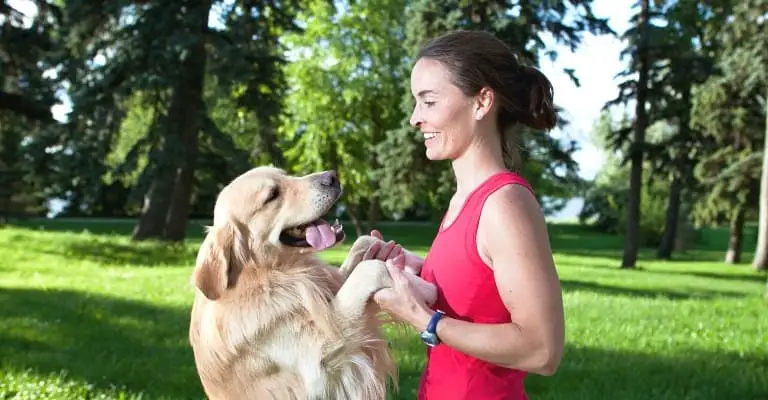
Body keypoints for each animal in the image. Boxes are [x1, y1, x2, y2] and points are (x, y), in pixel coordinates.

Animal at [189, 165, 402, 396]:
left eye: (285, 174)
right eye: (272, 195)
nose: (332, 176)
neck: (266, 274)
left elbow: (354, 255)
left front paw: (377, 246)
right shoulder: (321, 364)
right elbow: (359, 281)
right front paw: (383, 269)